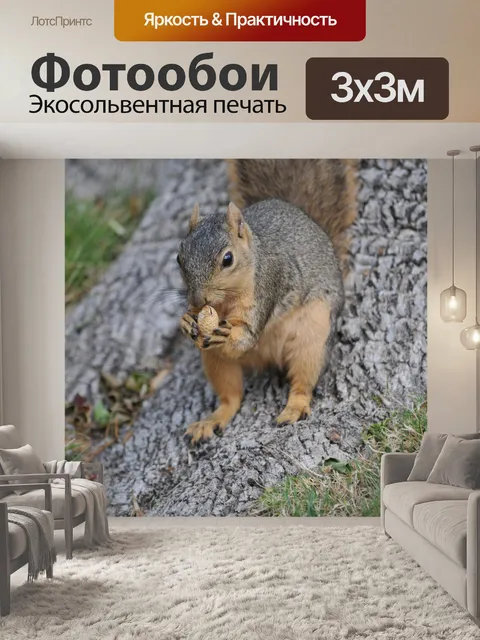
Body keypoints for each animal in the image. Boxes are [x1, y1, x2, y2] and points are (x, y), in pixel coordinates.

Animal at [178, 160, 358, 445]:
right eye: (178, 259)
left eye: (227, 259)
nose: (197, 299)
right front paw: (185, 321)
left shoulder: (268, 284)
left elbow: (247, 335)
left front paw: (230, 335)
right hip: (214, 360)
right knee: (231, 398)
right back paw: (212, 420)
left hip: (315, 334)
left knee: (304, 380)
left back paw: (294, 408)